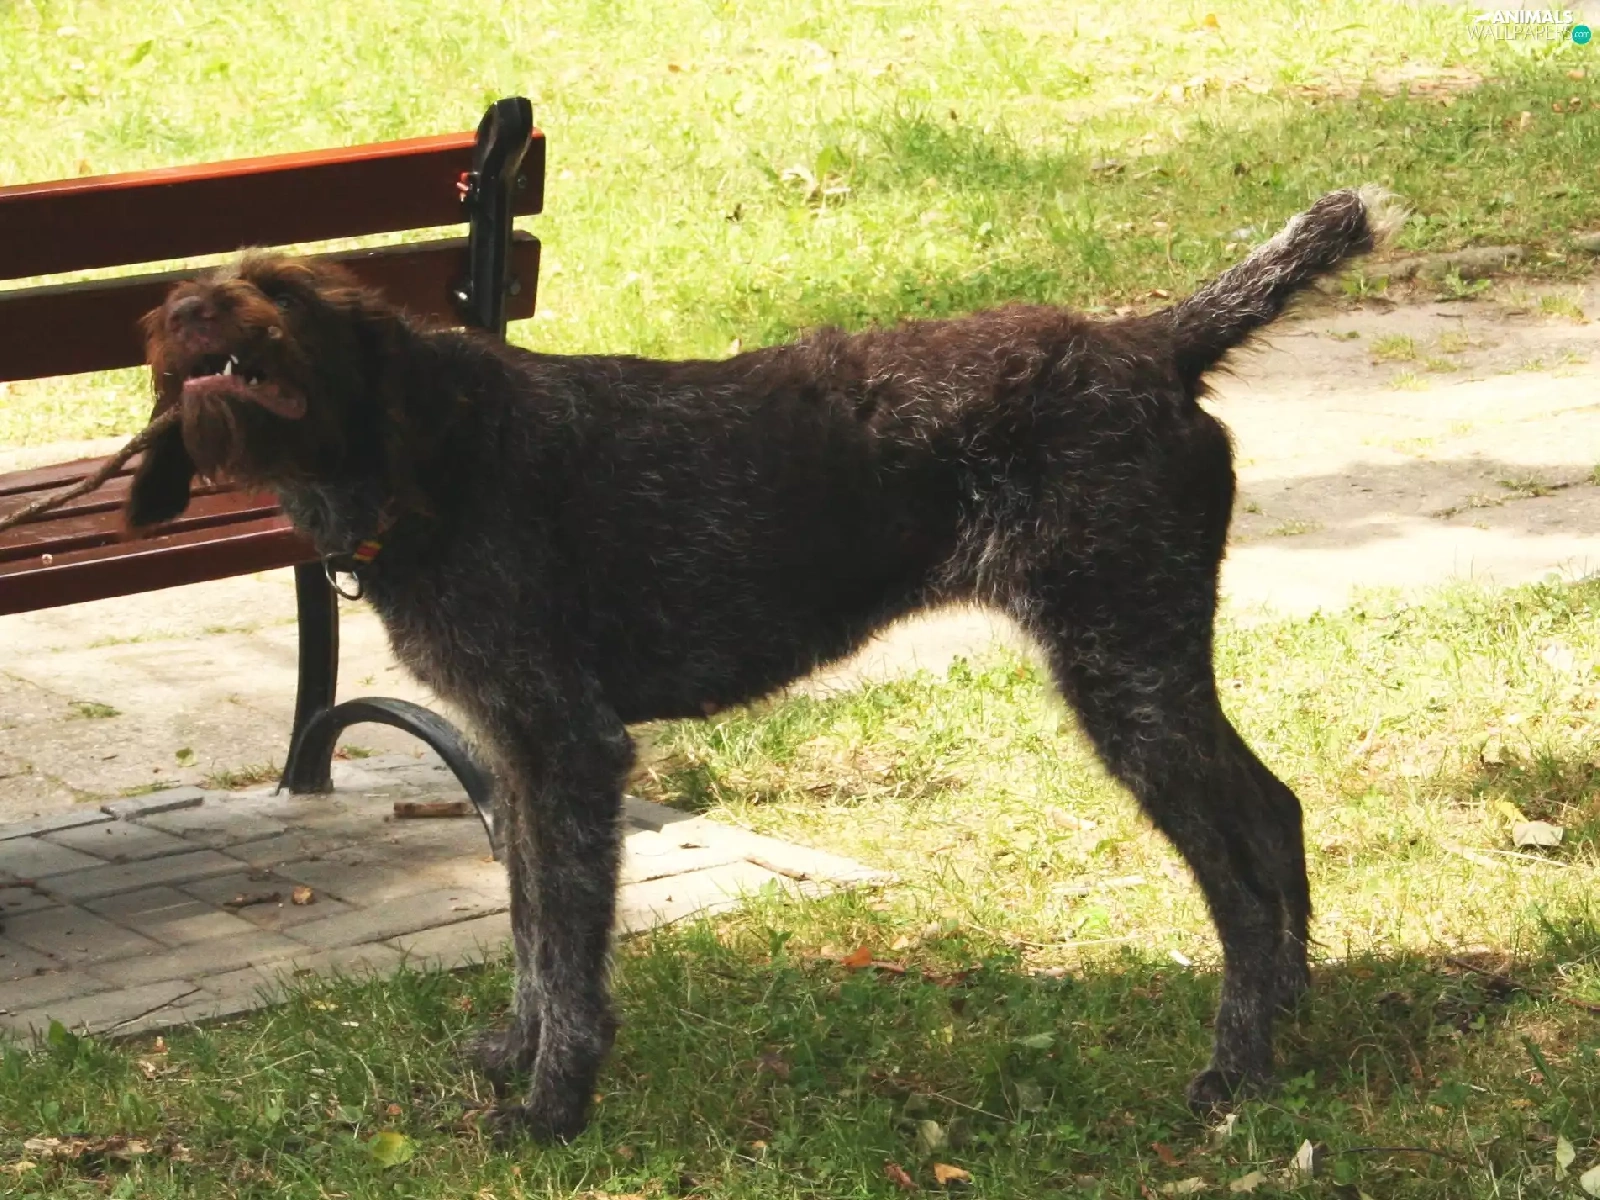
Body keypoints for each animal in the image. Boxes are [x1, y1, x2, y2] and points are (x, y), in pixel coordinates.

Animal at [127, 186, 1399, 1140]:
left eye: (287, 293)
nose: (182, 305)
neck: (424, 452)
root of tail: (1152, 342)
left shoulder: (570, 749)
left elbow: (566, 951)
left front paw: (553, 1108)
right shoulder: (518, 755)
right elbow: (529, 927)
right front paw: (515, 1055)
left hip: (1124, 677)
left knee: (1237, 875)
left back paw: (1238, 1069)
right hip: (1152, 667)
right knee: (1273, 809)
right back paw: (1291, 1011)